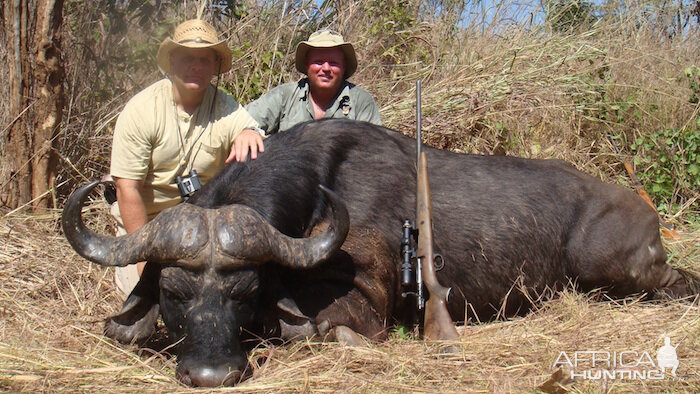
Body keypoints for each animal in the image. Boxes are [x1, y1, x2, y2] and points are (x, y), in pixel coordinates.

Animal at [61, 118, 696, 386]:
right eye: (173, 293)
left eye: (246, 291)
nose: (212, 374)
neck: (320, 190)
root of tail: (646, 209)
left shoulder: (362, 308)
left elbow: (317, 329)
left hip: (614, 268)